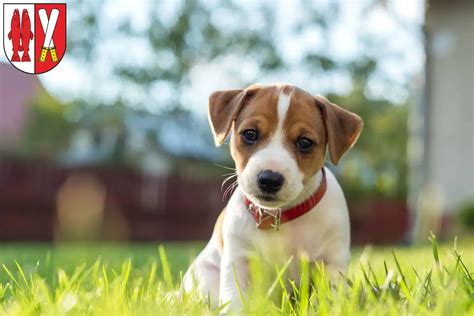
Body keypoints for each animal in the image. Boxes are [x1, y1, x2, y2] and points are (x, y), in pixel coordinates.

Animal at [182, 82, 362, 310]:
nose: (269, 179)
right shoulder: (238, 261)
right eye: (250, 134)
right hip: (204, 277)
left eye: (305, 142)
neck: (279, 215)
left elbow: (329, 300)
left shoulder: (332, 262)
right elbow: (235, 302)